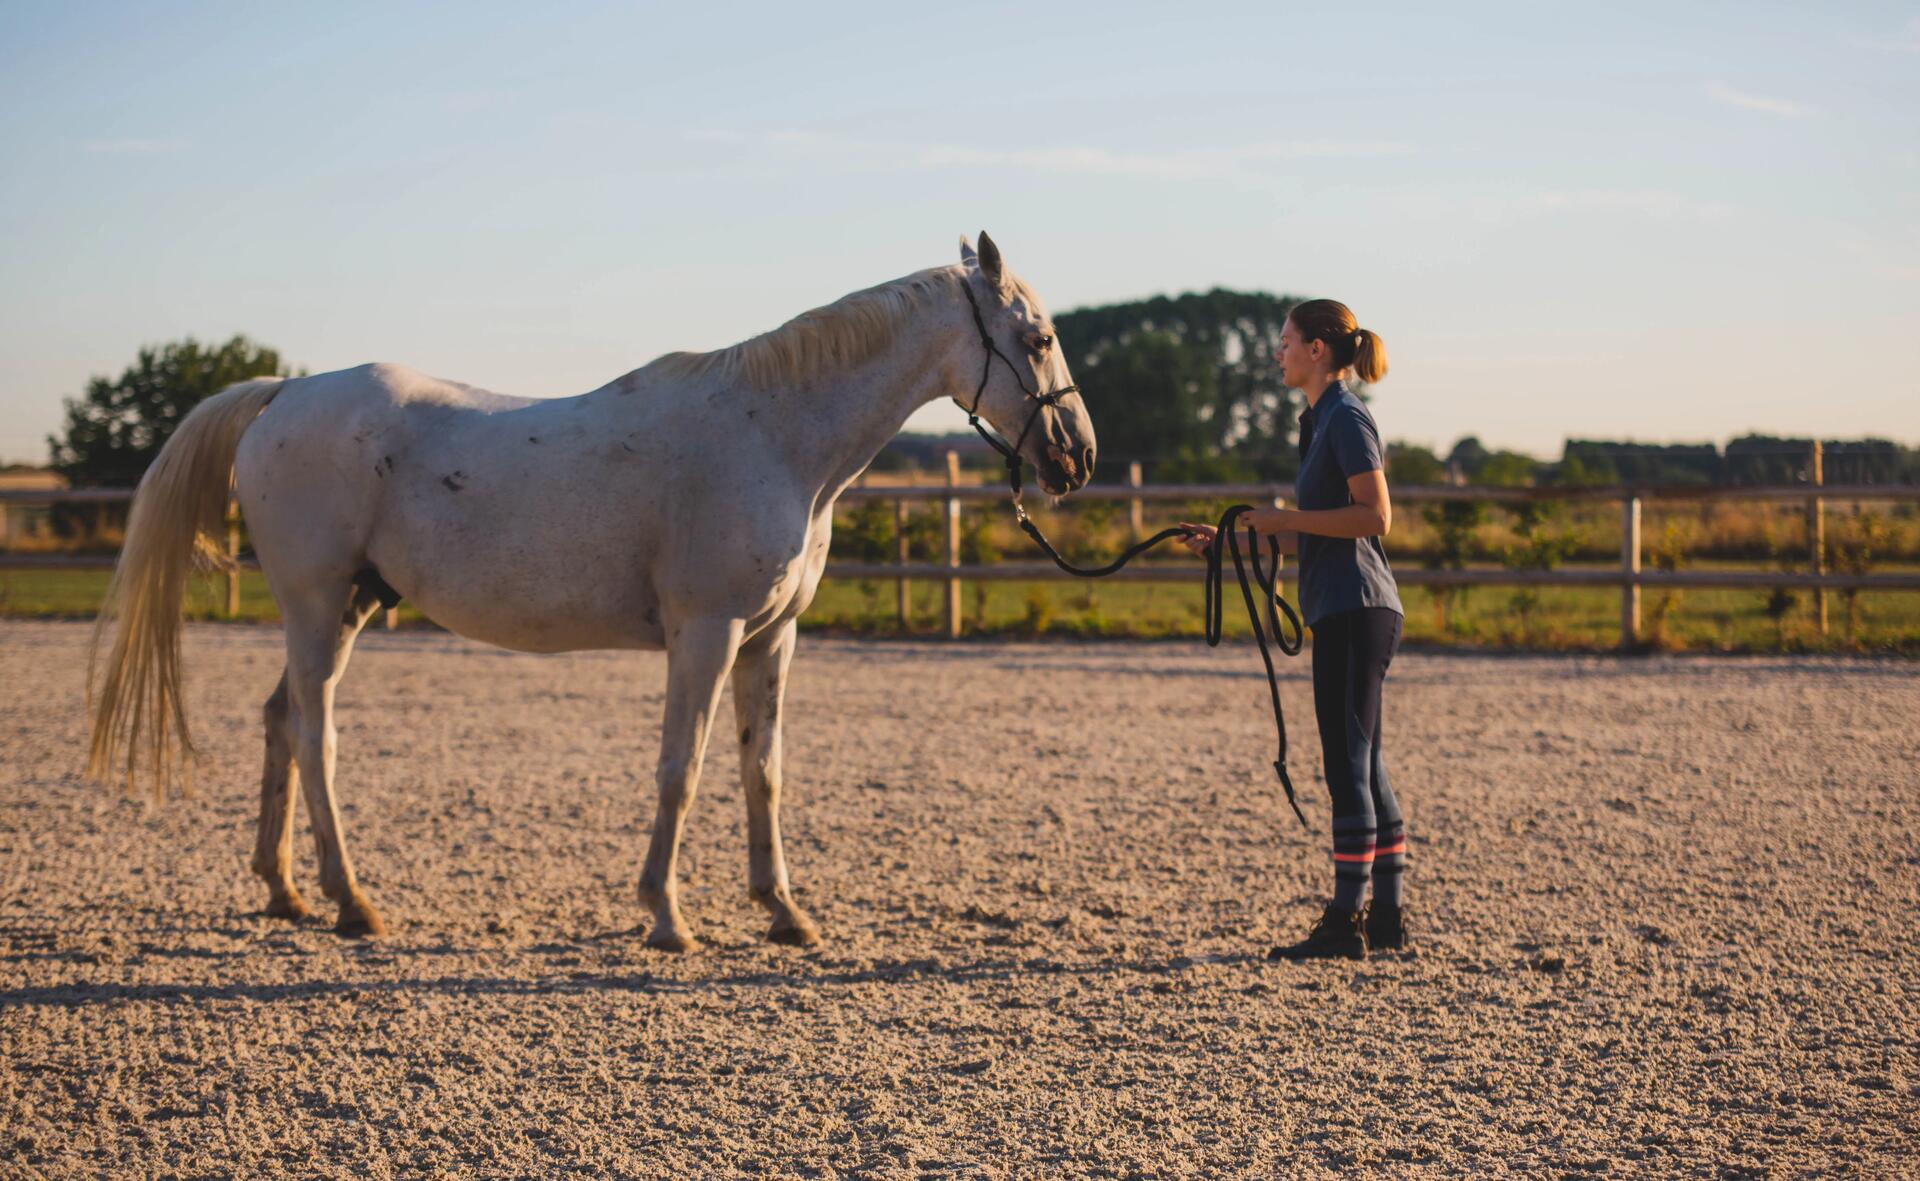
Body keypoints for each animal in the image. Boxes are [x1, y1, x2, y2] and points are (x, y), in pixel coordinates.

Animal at [86, 231, 1098, 952]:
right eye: (1038, 338)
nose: (1078, 457)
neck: (772, 434)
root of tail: (283, 393)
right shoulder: (706, 631)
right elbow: (681, 769)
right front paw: (666, 917)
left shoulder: (771, 638)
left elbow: (761, 770)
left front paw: (784, 912)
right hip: (313, 602)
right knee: (313, 734)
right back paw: (352, 902)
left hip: (347, 606)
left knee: (279, 721)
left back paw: (286, 890)